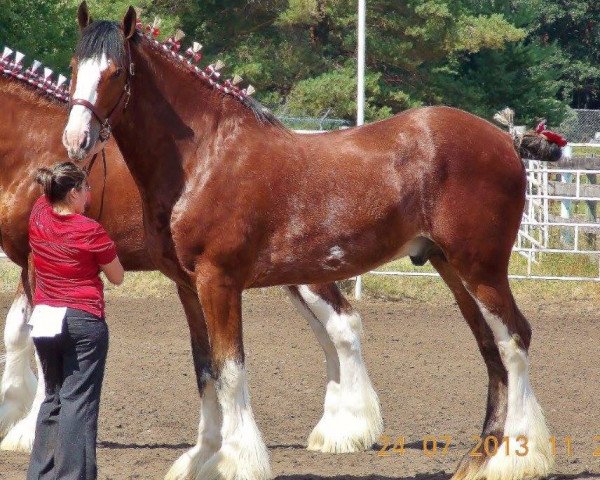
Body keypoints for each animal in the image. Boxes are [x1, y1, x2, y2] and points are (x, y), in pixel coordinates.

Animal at [0, 47, 382, 458]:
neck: (34, 147)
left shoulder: (38, 262)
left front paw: (25, 430)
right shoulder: (30, 264)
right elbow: (17, 331)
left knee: (343, 325)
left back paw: (350, 430)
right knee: (328, 333)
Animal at [61, 4, 568, 480]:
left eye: (116, 71)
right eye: (74, 64)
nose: (76, 139)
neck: (203, 157)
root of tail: (505, 139)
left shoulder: (219, 283)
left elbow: (229, 370)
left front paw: (237, 461)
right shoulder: (188, 289)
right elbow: (205, 371)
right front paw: (203, 458)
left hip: (482, 270)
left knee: (514, 341)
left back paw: (516, 459)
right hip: (452, 268)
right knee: (491, 349)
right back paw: (480, 460)